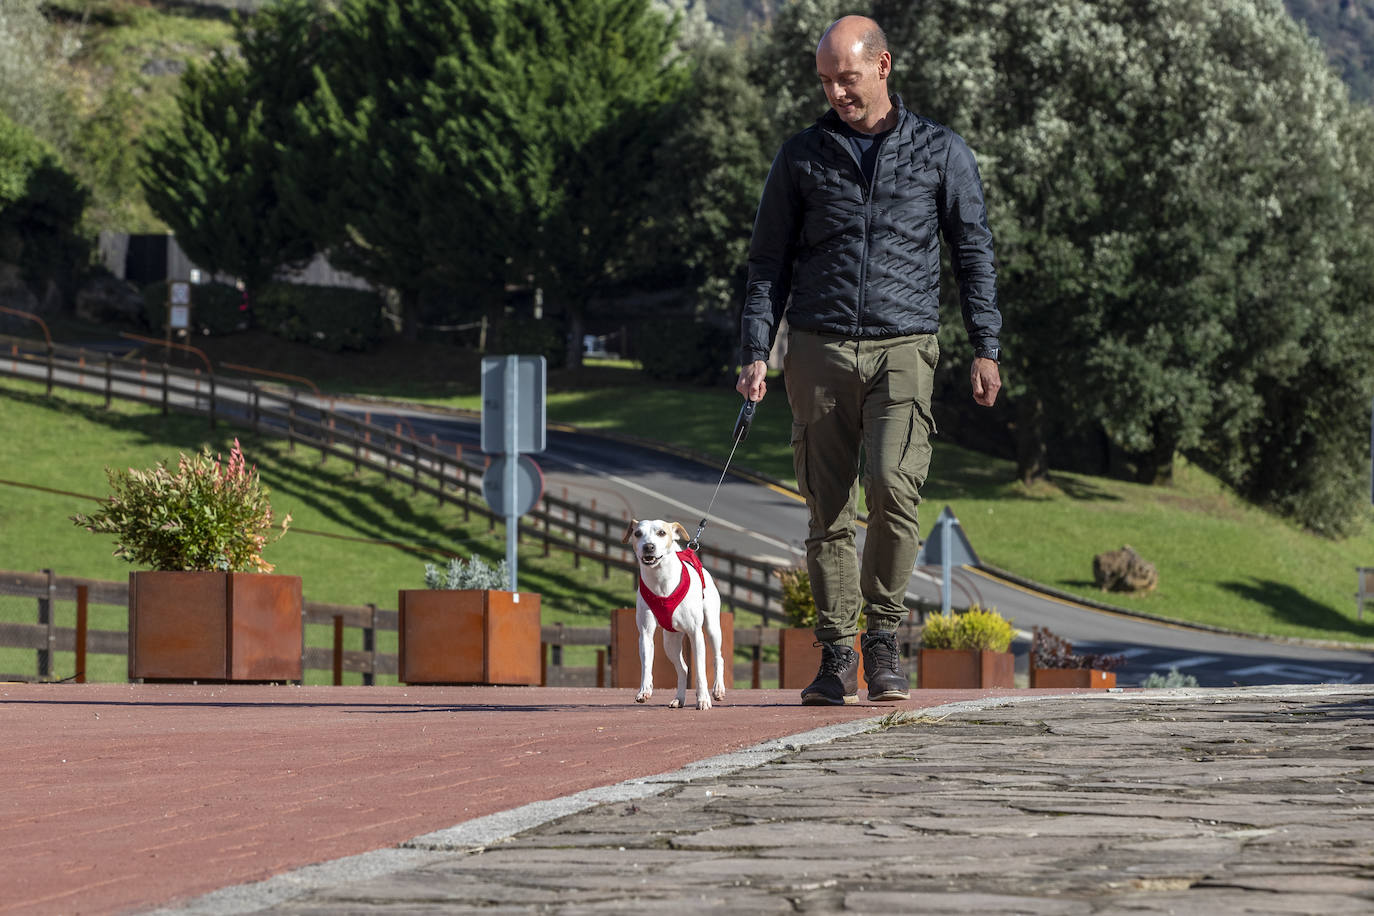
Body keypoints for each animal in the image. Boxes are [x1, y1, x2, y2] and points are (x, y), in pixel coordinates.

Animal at [626, 521, 730, 708]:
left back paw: (718, 689)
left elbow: (700, 671)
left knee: (718, 657)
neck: (661, 581)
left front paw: (703, 699)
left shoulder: (696, 633)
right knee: (683, 669)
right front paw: (644, 690)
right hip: (670, 641)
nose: (648, 546)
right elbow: (646, 664)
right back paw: (679, 698)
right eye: (637, 533)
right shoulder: (645, 633)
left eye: (661, 533)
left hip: (712, 627)